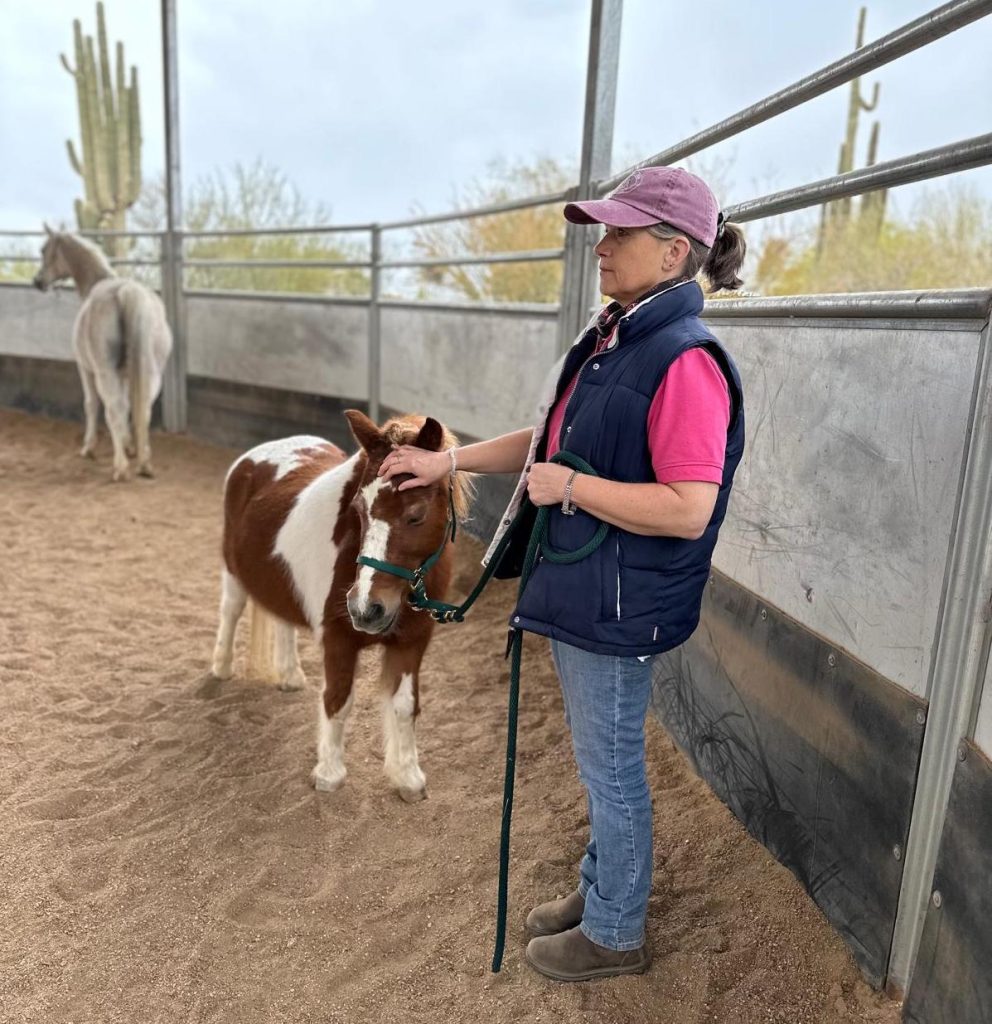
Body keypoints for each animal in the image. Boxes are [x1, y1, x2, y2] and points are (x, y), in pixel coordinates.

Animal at [32, 226, 171, 481]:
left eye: (44, 250)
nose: (37, 281)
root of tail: (126, 292)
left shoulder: (85, 369)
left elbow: (91, 404)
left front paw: (89, 448)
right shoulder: (125, 375)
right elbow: (128, 406)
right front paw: (129, 445)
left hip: (104, 374)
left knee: (112, 409)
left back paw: (120, 468)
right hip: (151, 373)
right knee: (142, 409)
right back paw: (144, 463)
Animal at [210, 407, 466, 798]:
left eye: (416, 514)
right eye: (359, 510)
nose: (365, 609)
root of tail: (253, 457)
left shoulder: (412, 642)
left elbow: (405, 706)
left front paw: (408, 777)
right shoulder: (339, 639)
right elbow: (338, 700)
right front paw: (329, 774)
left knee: (282, 619)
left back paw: (290, 676)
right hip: (233, 573)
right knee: (231, 611)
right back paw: (221, 668)